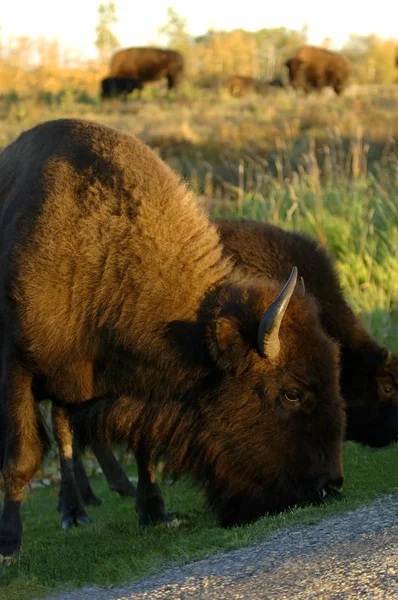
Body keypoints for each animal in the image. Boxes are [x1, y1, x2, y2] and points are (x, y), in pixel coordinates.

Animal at [0, 119, 346, 556]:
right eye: (291, 392)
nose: (330, 485)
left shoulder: (131, 387)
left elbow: (141, 444)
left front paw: (153, 512)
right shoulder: (17, 366)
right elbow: (22, 457)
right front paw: (9, 543)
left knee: (67, 431)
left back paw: (77, 508)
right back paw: (71, 513)